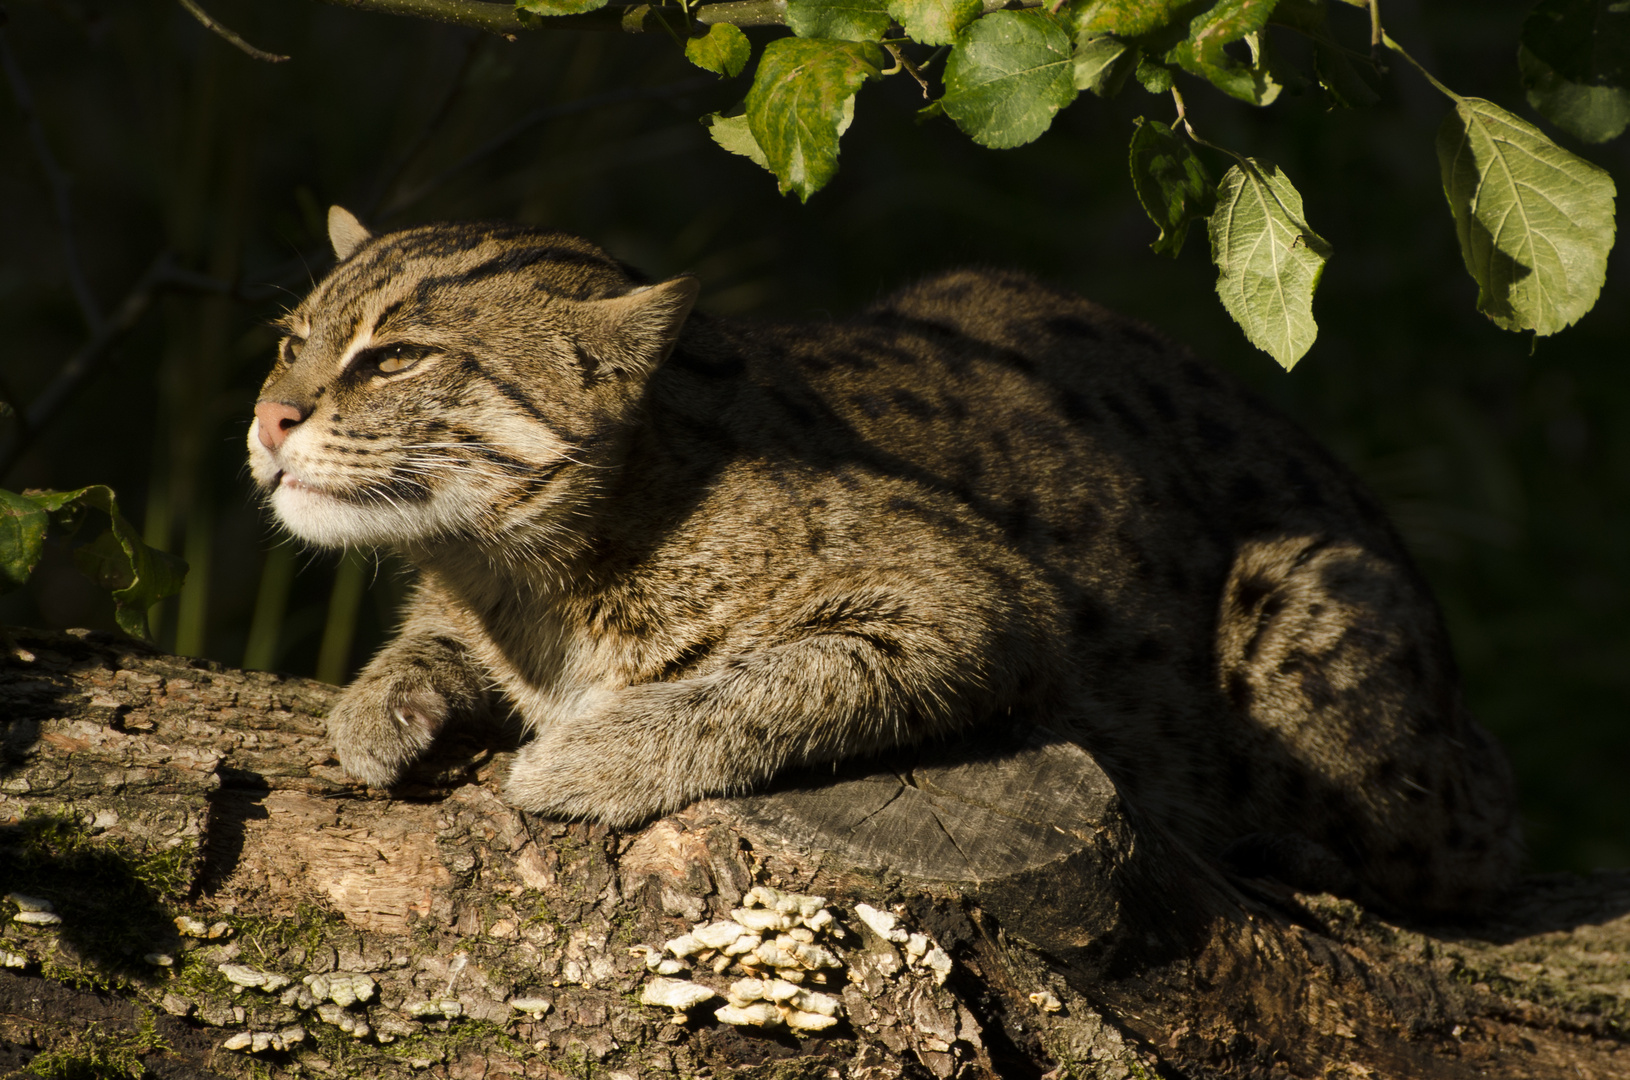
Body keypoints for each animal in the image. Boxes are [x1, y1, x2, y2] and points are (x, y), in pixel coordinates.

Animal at [247, 205, 1519, 912]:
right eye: (292, 339)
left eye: (397, 357)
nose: (266, 417)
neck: (519, 565)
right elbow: (430, 643)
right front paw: (386, 695)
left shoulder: (984, 602)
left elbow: (768, 682)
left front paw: (591, 757)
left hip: (1299, 606)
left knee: (1474, 849)